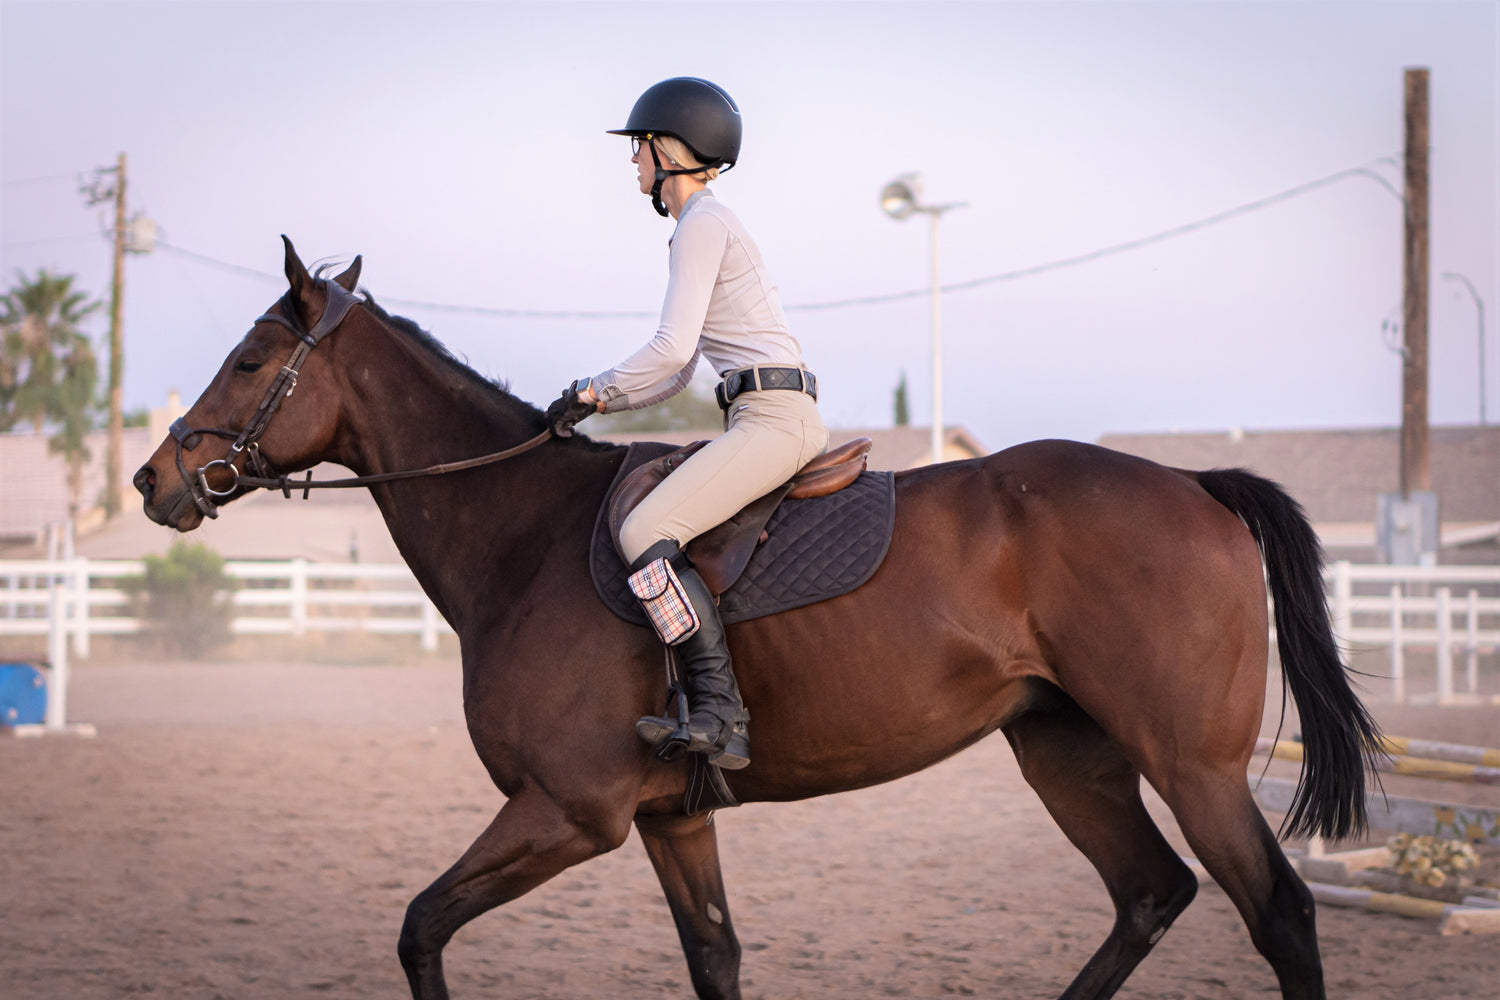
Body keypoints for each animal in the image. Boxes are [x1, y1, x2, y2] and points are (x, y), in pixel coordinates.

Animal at [135, 242, 1374, 1000]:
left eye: (249, 360)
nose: (154, 481)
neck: (524, 533)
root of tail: (1195, 485)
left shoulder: (570, 811)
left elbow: (421, 925)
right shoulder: (672, 821)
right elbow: (716, 959)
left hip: (1189, 762)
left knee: (1277, 912)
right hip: (1068, 751)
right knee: (1151, 893)